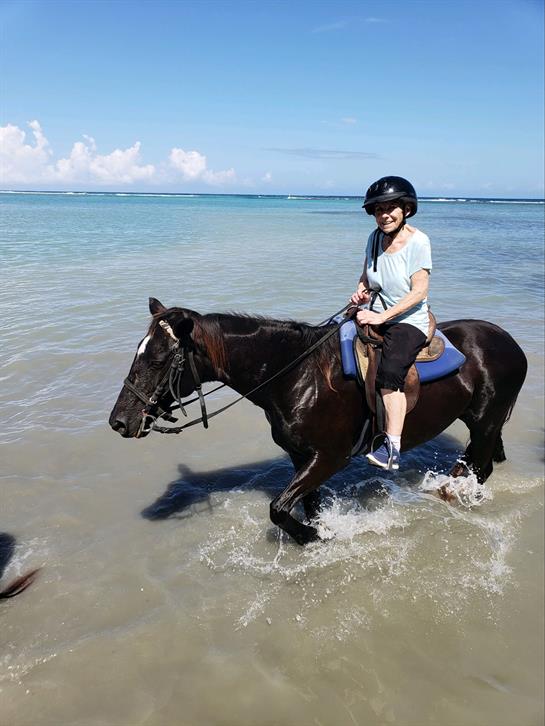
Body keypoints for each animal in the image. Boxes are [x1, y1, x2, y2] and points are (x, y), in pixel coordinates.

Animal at [109, 298, 527, 545]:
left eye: (158, 361)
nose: (119, 422)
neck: (295, 374)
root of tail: (509, 342)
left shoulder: (329, 457)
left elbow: (278, 509)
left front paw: (314, 538)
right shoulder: (301, 456)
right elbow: (307, 503)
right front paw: (319, 529)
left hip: (486, 421)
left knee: (478, 467)